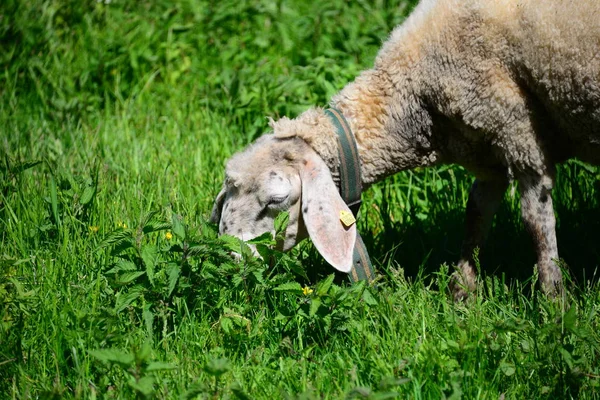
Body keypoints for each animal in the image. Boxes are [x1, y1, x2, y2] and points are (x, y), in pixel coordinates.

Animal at [210, 0, 600, 300]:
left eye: (276, 200)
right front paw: (461, 295)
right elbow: (475, 218)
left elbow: (537, 223)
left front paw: (554, 304)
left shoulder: (518, 132)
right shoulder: (485, 147)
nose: (230, 256)